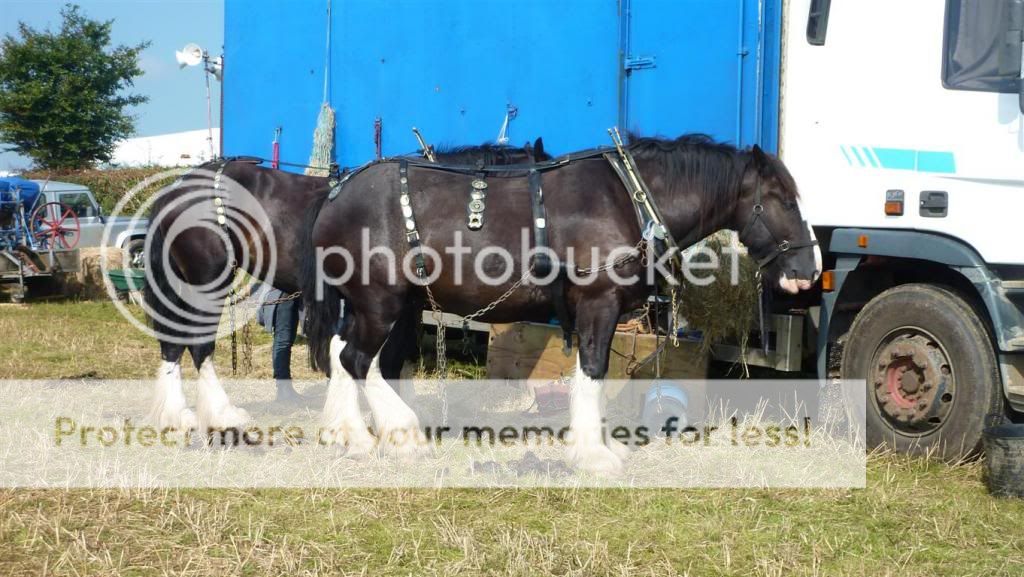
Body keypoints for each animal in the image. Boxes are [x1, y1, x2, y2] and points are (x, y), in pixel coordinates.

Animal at [143, 137, 548, 430]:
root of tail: (176, 186)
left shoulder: (406, 306)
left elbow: (394, 359)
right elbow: (387, 361)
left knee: (173, 341)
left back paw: (176, 414)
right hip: (207, 277)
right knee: (197, 343)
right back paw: (221, 414)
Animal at [299, 134, 819, 473]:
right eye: (782, 199)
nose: (807, 271)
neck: (629, 196)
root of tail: (335, 193)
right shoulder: (599, 301)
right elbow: (592, 371)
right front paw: (594, 454)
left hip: (378, 304)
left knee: (343, 354)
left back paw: (348, 434)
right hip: (382, 301)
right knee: (357, 359)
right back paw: (399, 436)